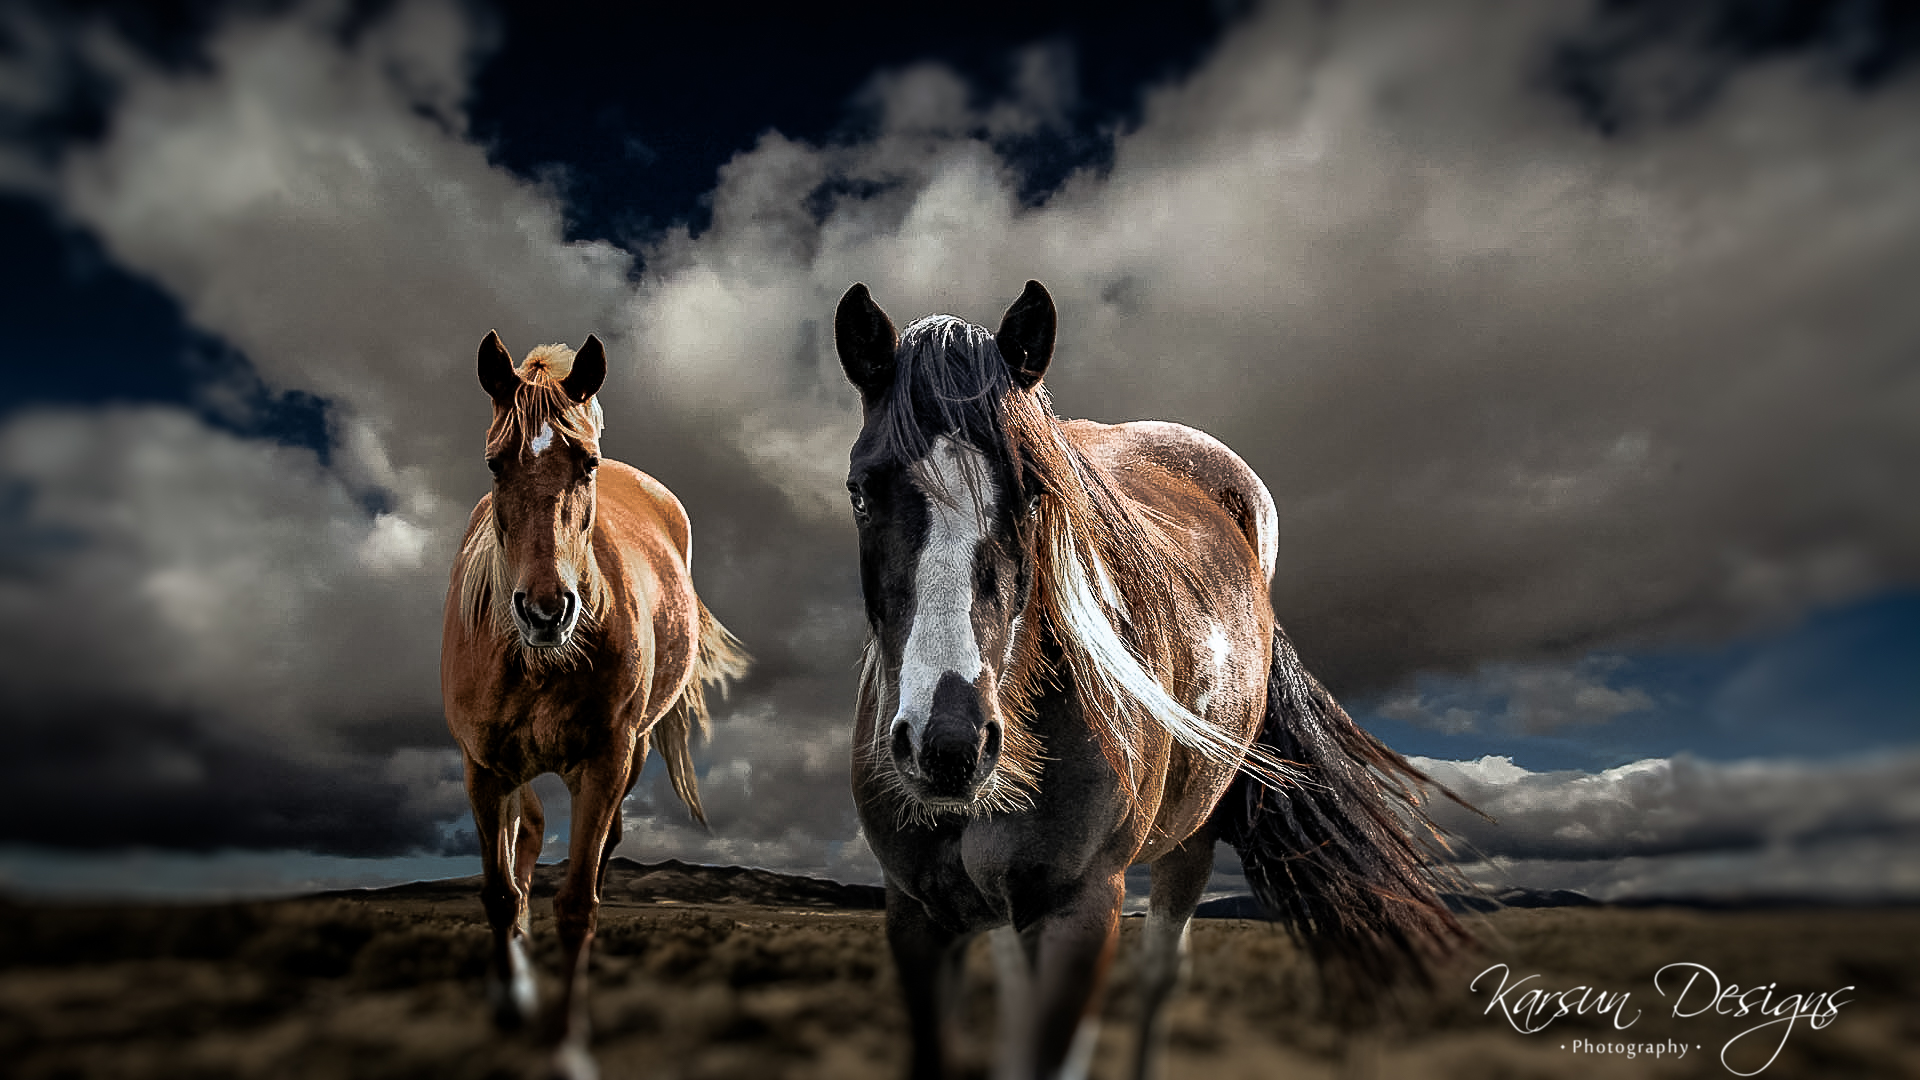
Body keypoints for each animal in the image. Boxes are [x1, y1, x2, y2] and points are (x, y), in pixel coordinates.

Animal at [443, 330, 748, 1076]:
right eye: (494, 463)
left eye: (586, 464)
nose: (545, 610)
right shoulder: (482, 767)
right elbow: (500, 891)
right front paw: (508, 998)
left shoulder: (606, 761)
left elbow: (578, 901)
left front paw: (565, 1045)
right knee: (523, 837)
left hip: (630, 754)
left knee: (598, 848)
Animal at [829, 278, 1466, 1076]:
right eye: (861, 491)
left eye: (1035, 493)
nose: (948, 745)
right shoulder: (916, 915)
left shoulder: (1078, 910)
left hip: (1190, 841)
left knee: (1163, 970)